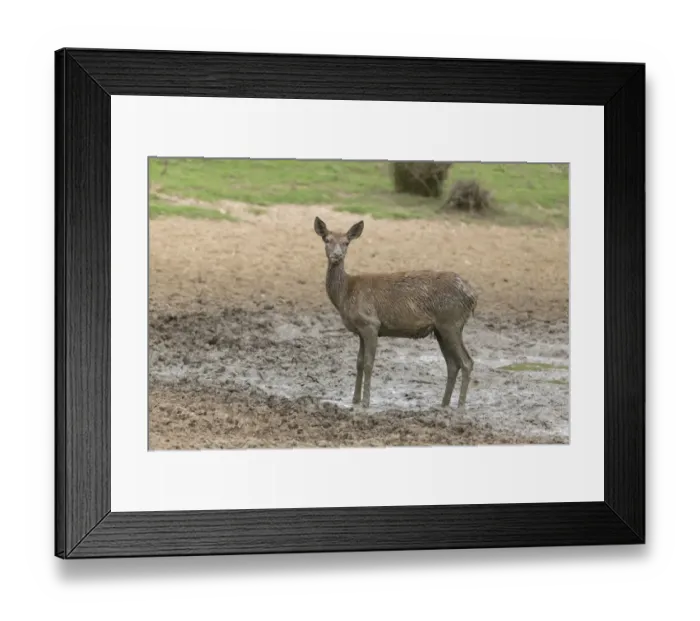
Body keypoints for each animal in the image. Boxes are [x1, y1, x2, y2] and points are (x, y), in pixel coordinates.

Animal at [314, 216, 478, 410]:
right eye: (327, 240)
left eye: (346, 242)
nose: (337, 255)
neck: (345, 294)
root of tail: (473, 296)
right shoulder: (360, 330)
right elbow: (359, 362)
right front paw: (354, 400)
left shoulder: (370, 323)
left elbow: (368, 363)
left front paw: (366, 402)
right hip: (441, 328)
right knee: (452, 364)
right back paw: (443, 404)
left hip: (451, 322)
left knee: (466, 362)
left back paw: (460, 406)